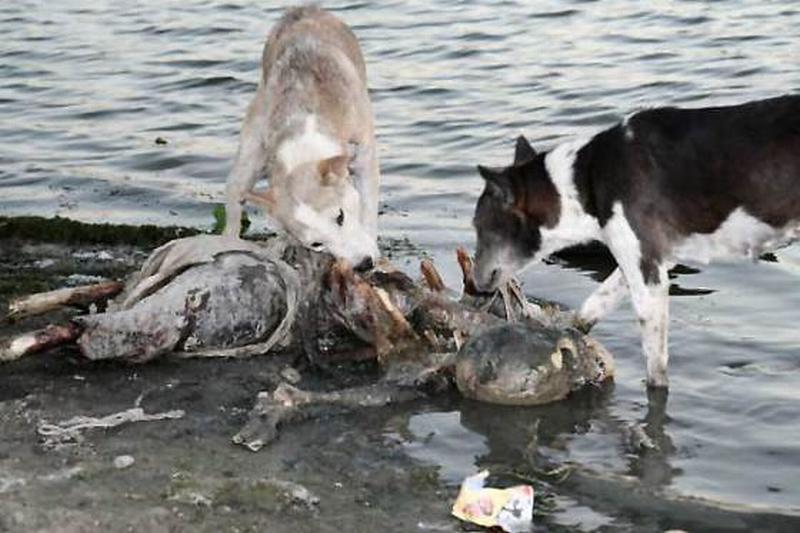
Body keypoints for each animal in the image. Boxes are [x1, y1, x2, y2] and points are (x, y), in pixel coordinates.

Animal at [222, 6, 378, 266]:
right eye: (317, 244)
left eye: (340, 216)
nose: (364, 264)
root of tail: (301, 9)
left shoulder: (365, 156)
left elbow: (367, 208)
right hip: (248, 156)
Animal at [472, 95, 800, 386]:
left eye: (480, 227)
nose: (474, 283)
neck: (584, 182)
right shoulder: (646, 257)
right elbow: (593, 306)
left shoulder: (649, 276)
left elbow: (656, 371)